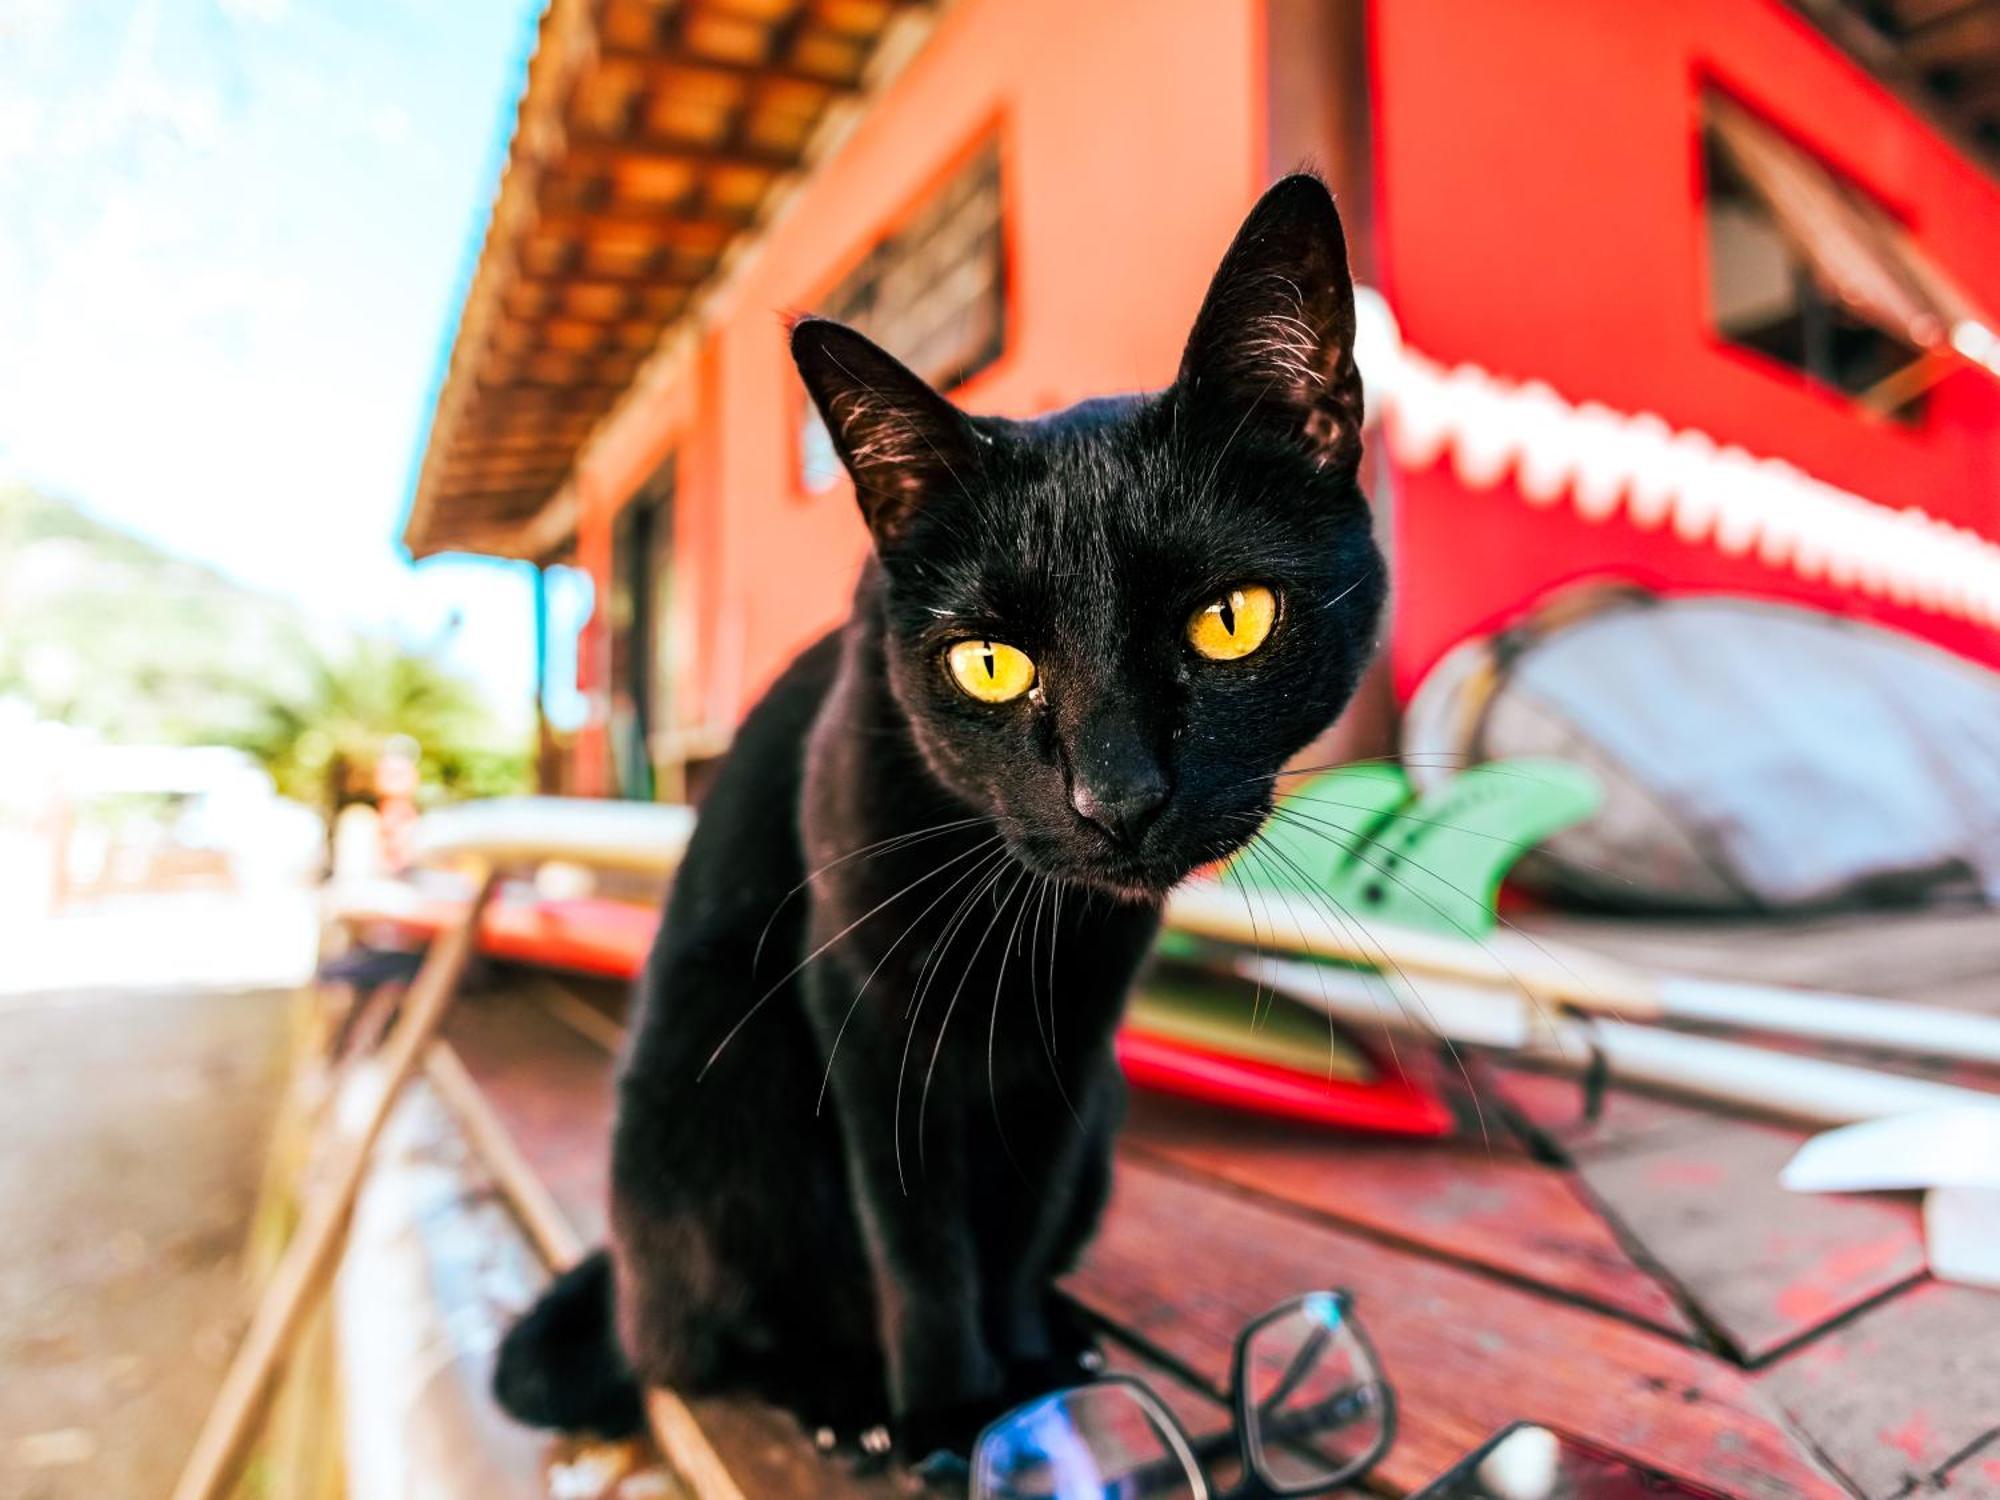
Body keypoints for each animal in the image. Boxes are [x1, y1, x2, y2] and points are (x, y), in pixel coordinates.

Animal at [492, 170, 1384, 1464]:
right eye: (988, 664)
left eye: (1229, 620)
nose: (1116, 797)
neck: (1041, 932)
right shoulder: (868, 1013)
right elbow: (916, 1235)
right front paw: (949, 1408)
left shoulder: (1070, 1045)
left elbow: (1012, 1218)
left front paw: (1024, 1377)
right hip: (712, 1101)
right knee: (704, 1338)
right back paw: (841, 1399)